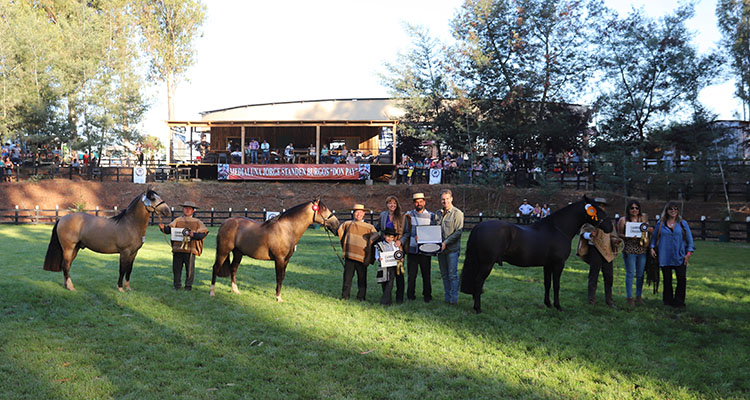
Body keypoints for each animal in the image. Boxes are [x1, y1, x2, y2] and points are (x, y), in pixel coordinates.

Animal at [42, 189, 170, 292]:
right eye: (153, 198)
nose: (167, 210)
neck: (130, 224)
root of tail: (62, 219)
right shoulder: (125, 252)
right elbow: (122, 270)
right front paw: (120, 288)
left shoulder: (134, 253)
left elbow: (129, 270)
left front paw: (128, 288)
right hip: (68, 248)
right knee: (66, 265)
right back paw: (71, 287)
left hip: (75, 249)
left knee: (67, 266)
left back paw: (67, 285)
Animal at [210, 198, 342, 302]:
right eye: (324, 209)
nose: (337, 226)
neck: (287, 229)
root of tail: (225, 222)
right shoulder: (279, 259)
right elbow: (278, 277)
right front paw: (278, 298)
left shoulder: (286, 260)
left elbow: (282, 277)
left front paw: (278, 295)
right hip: (223, 251)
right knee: (216, 268)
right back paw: (212, 292)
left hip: (238, 253)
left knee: (233, 269)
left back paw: (235, 290)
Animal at [462, 195, 612, 314]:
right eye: (597, 209)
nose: (610, 227)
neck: (558, 229)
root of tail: (478, 226)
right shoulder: (558, 264)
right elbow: (556, 285)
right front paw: (558, 306)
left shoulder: (548, 265)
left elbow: (547, 283)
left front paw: (548, 304)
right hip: (487, 264)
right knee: (478, 281)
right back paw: (478, 308)